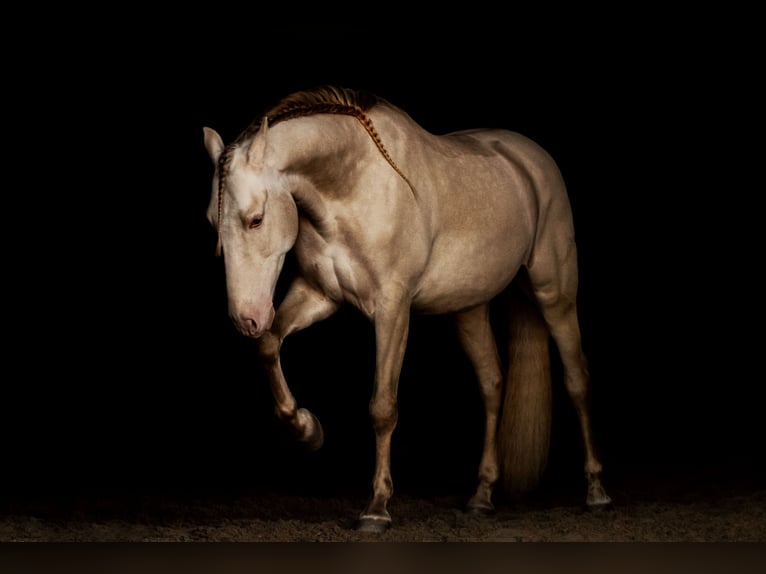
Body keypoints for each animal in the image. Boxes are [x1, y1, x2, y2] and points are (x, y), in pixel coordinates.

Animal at [202, 86, 612, 532]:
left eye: (255, 219)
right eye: (212, 222)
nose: (246, 319)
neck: (355, 186)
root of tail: (531, 160)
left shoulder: (392, 309)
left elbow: (383, 406)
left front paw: (377, 507)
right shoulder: (319, 295)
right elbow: (269, 346)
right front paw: (308, 429)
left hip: (555, 294)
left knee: (577, 379)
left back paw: (596, 492)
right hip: (470, 309)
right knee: (492, 383)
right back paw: (481, 496)